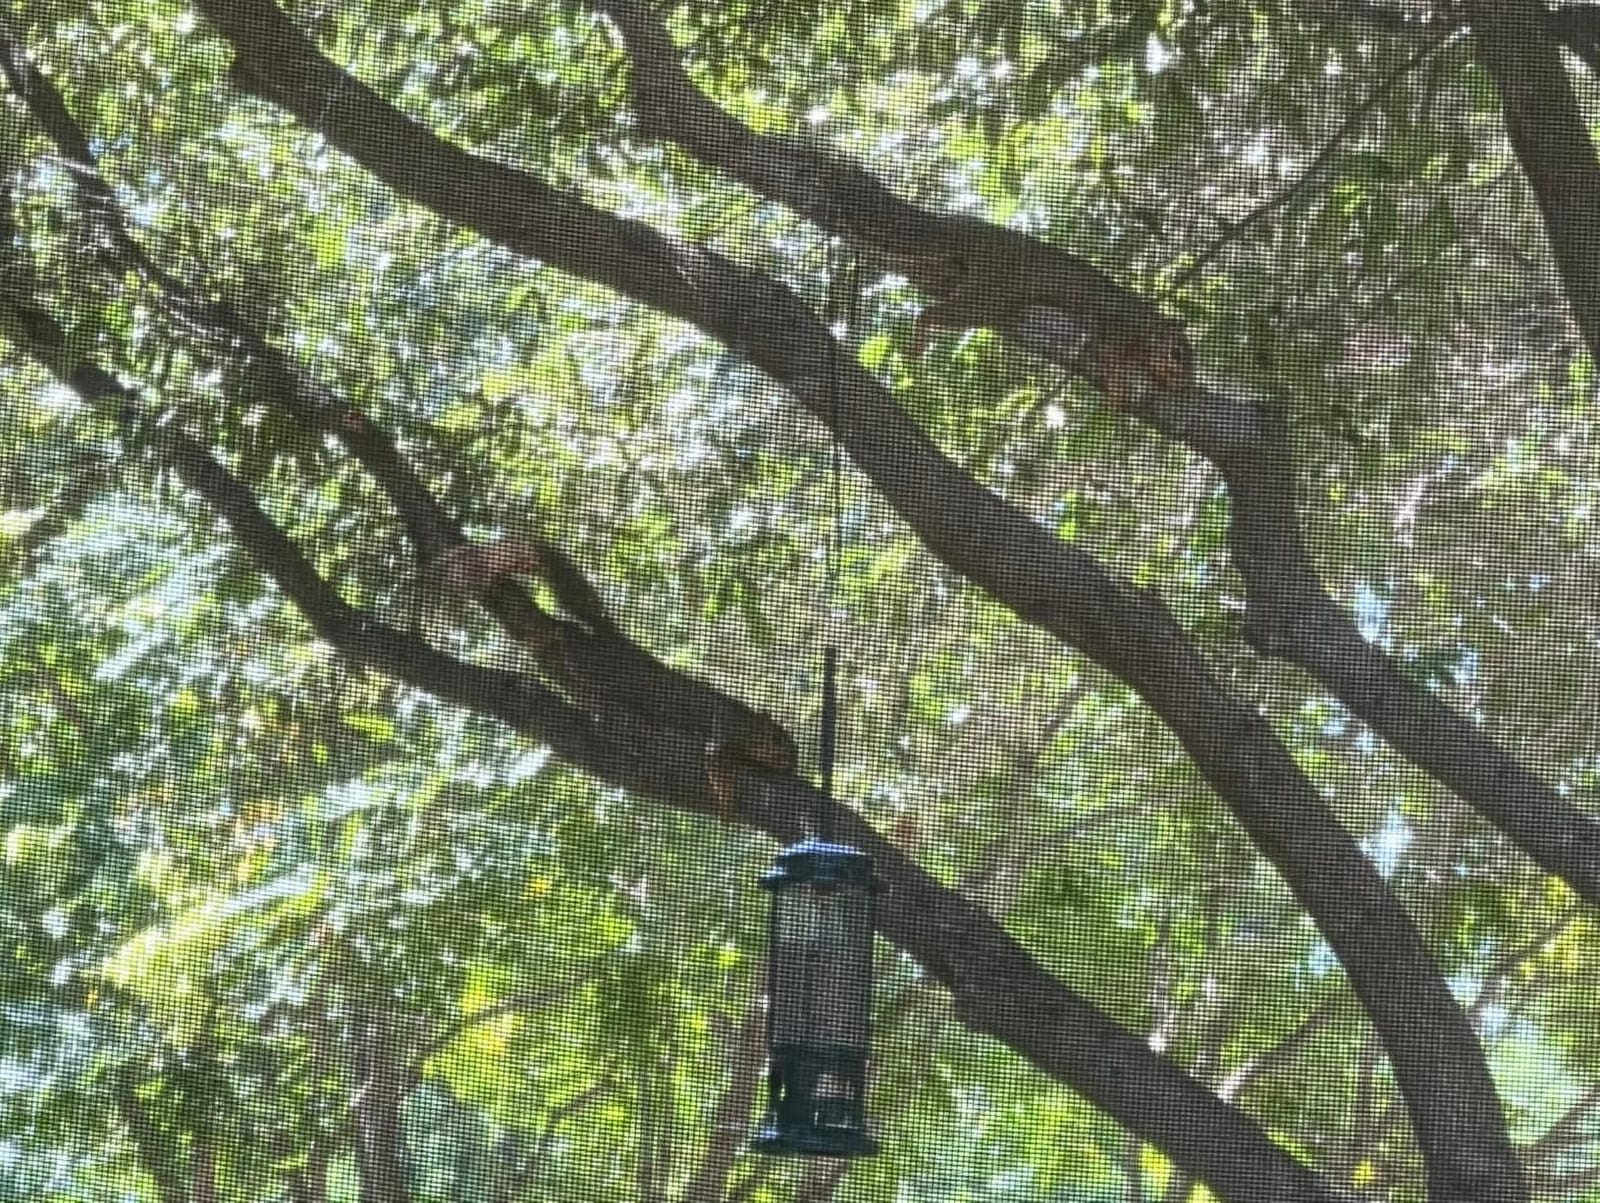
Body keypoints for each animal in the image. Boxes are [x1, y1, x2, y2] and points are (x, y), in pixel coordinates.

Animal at [431, 537, 798, 817]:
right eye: (777, 740)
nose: (793, 765)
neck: (748, 723)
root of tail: (611, 641)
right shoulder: (725, 734)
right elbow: (716, 762)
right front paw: (727, 805)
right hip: (594, 665)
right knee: (567, 639)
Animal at [893, 217, 1194, 407]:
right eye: (1176, 354)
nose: (1183, 385)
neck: (1142, 329)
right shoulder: (1112, 327)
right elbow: (1107, 357)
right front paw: (1118, 389)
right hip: (990, 295)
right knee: (932, 313)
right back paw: (918, 338)